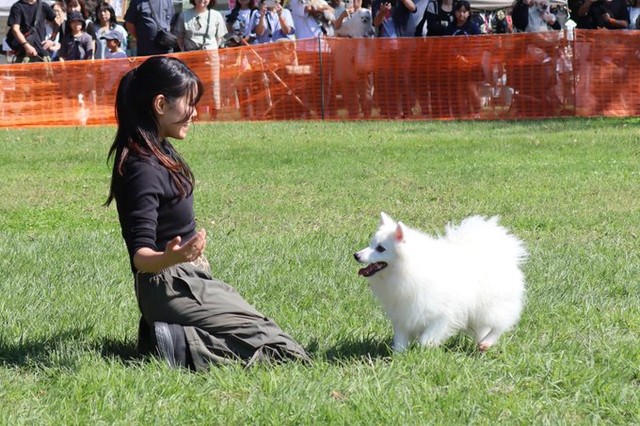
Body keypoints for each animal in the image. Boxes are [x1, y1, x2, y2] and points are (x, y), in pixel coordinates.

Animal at [352, 213, 528, 352]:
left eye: (381, 248)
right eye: (371, 244)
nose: (356, 255)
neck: (409, 269)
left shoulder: (442, 316)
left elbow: (425, 339)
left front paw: (424, 351)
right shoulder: (402, 314)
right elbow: (400, 341)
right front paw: (399, 357)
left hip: (492, 307)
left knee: (500, 324)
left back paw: (487, 343)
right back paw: (481, 344)